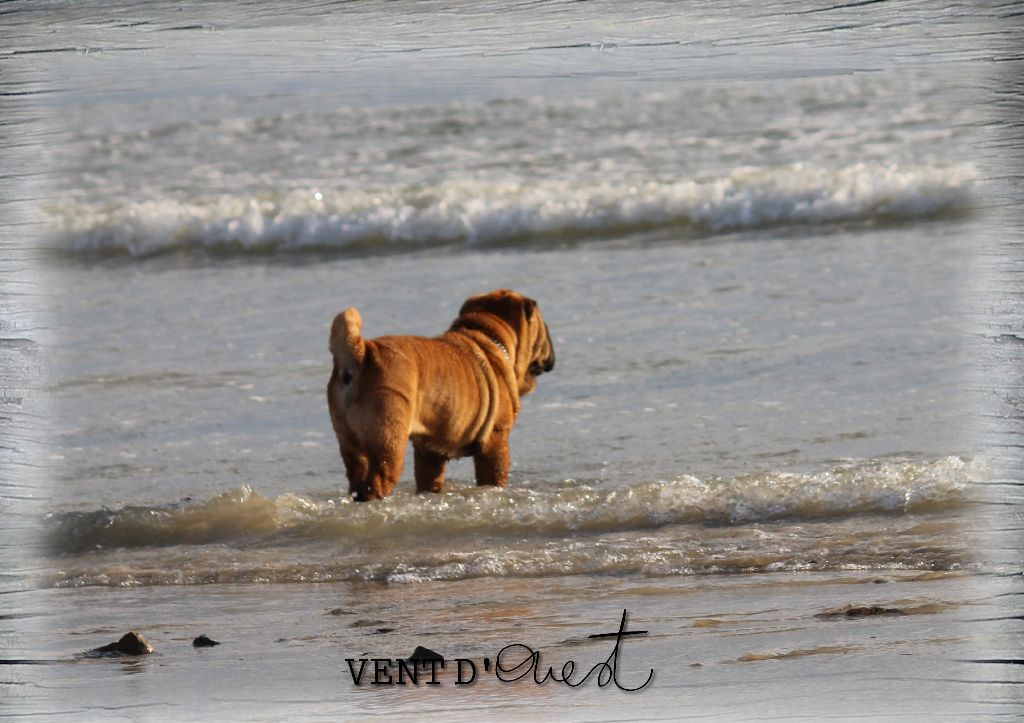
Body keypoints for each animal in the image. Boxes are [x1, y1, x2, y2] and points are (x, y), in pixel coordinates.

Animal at [327, 286, 557, 495]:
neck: (489, 336)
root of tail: (361, 353)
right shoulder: (495, 441)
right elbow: (494, 477)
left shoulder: (429, 454)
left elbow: (429, 480)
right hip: (389, 442)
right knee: (377, 483)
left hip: (350, 443)